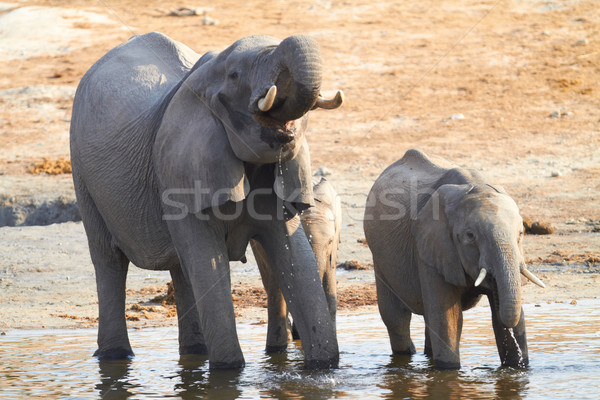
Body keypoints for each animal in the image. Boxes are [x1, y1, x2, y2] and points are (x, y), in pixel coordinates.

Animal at [364, 149, 548, 368]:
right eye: (470, 236)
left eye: (521, 234)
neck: (476, 187)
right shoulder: (430, 246)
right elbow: (448, 320)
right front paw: (449, 370)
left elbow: (502, 314)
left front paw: (517, 367)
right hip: (379, 258)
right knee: (396, 318)